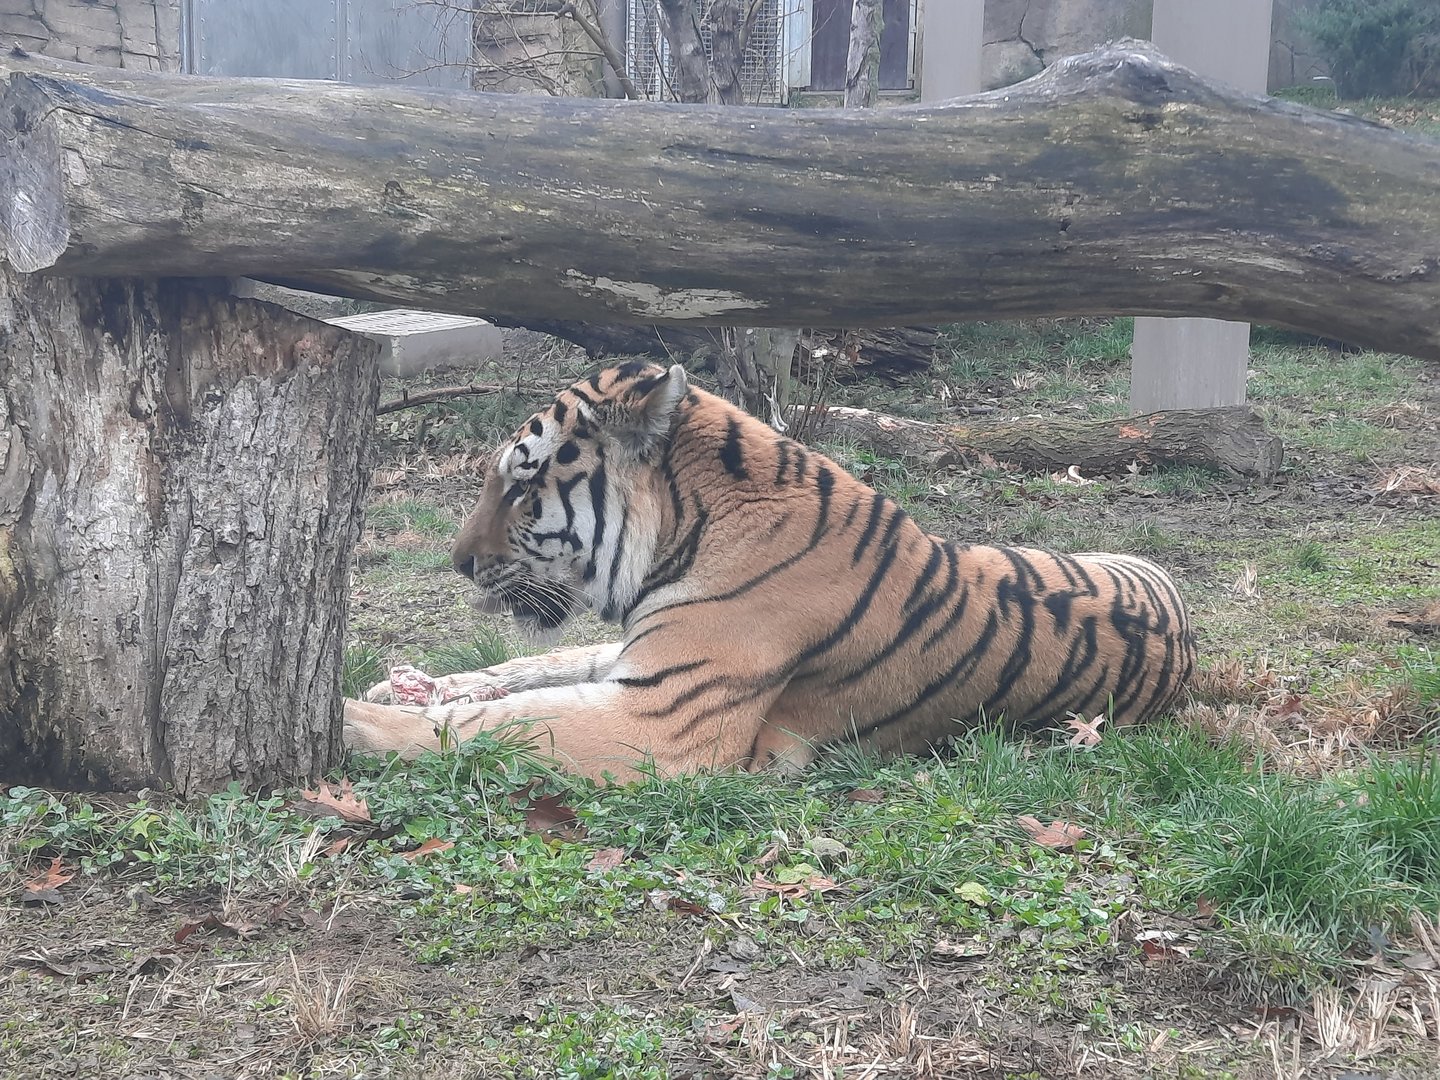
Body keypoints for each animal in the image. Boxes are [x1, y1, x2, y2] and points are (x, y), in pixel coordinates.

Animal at [343, 362, 1195, 781]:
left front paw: (351, 722)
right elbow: (531, 682)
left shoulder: (663, 718)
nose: (457, 563)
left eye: (521, 486)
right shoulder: (647, 668)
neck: (680, 536)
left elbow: (503, 725)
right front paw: (402, 694)